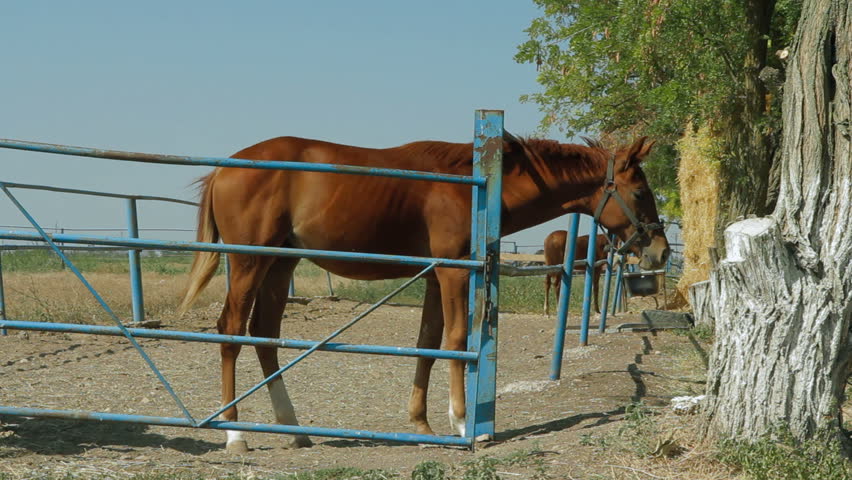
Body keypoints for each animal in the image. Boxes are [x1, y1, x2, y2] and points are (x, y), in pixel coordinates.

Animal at [178, 134, 669, 452]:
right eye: (640, 192)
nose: (661, 251)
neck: (478, 189)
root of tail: (226, 167)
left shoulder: (436, 277)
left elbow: (428, 345)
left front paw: (421, 421)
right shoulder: (453, 273)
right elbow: (456, 341)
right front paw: (463, 423)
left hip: (280, 265)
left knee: (264, 335)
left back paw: (294, 429)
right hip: (249, 263)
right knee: (230, 330)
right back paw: (235, 434)